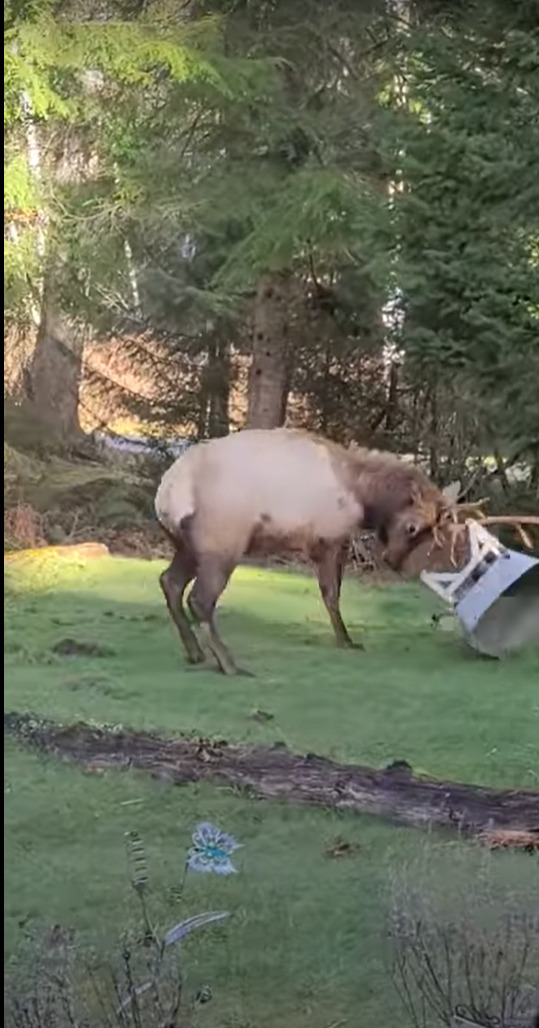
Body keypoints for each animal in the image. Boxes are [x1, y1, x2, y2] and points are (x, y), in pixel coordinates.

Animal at [154, 425, 450, 674]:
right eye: (412, 528)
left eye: (429, 531)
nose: (394, 562)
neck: (364, 496)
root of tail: (166, 493)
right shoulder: (329, 540)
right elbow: (331, 594)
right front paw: (346, 640)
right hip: (222, 545)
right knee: (199, 600)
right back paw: (229, 663)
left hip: (187, 546)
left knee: (170, 582)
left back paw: (195, 652)